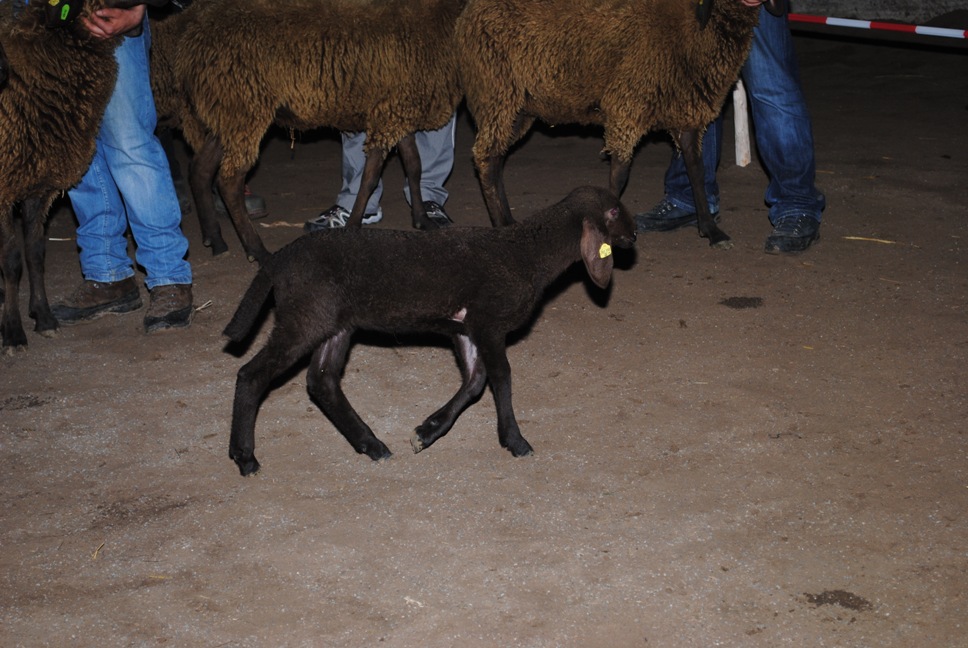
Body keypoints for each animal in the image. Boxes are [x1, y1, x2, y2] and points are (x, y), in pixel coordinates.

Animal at [0, 0, 118, 352]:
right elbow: (12, 260)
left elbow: (35, 253)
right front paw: (13, 331)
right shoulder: (4, 187)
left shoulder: (39, 186)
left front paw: (43, 317)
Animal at [156, 0, 466, 263]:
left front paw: (423, 220)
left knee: (200, 169)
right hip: (243, 104)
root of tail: (191, 40)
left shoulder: (396, 111)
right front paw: (353, 225)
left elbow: (414, 166)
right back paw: (258, 251)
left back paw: (216, 240)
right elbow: (370, 177)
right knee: (229, 179)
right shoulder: (390, 113)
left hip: (228, 111)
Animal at [222, 185, 636, 476]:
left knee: (321, 381)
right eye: (614, 211)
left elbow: (474, 382)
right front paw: (516, 441)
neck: (527, 254)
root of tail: (280, 259)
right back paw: (245, 457)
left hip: (333, 324)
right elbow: (501, 377)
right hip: (304, 318)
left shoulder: (467, 327)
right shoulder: (488, 322)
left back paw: (372, 445)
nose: (634, 236)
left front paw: (426, 432)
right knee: (252, 374)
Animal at [456, 0, 780, 248]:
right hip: (496, 91)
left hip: (517, 107)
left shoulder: (685, 111)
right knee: (486, 157)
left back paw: (507, 220)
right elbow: (620, 175)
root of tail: (467, 15)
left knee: (495, 158)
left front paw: (712, 230)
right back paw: (500, 224)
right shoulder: (627, 104)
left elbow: (696, 170)